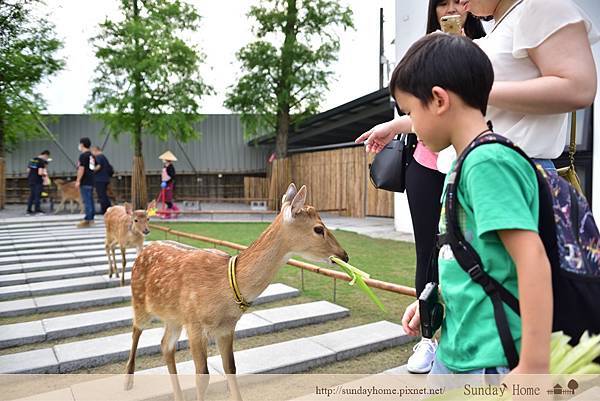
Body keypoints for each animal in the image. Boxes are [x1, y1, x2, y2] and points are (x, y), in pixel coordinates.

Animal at [124, 184, 350, 400]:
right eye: (318, 229)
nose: (344, 255)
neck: (224, 288)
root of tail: (142, 252)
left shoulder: (226, 327)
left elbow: (230, 368)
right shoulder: (194, 323)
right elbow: (202, 375)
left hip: (173, 318)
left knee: (165, 345)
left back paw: (177, 396)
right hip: (140, 301)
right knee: (136, 329)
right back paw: (128, 381)